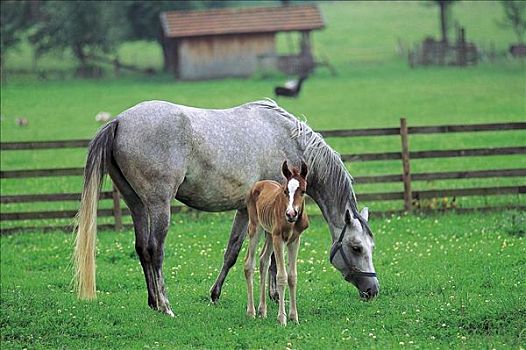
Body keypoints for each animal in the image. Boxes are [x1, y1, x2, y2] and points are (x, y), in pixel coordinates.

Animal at [245, 161, 312, 326]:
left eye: (303, 191)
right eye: (285, 191)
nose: (291, 214)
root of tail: (259, 183)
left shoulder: (295, 240)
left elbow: (292, 277)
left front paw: (294, 317)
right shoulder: (279, 239)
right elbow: (281, 276)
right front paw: (282, 318)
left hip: (269, 234)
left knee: (263, 260)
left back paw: (262, 311)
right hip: (256, 228)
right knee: (249, 264)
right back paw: (251, 311)